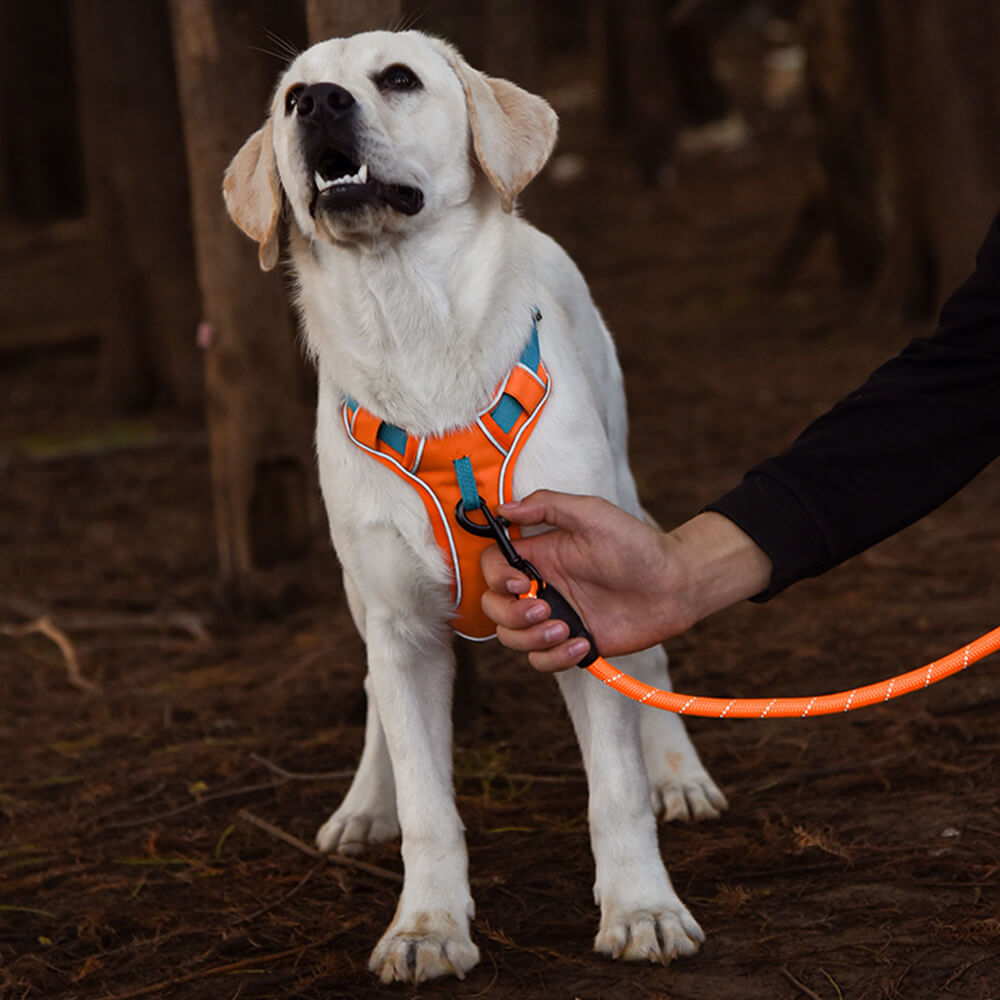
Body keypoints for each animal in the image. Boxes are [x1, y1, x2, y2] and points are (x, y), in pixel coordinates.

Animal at [227, 29, 728, 984]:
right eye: (291, 98)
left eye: (397, 79)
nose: (320, 105)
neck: (416, 335)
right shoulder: (397, 622)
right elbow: (428, 802)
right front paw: (424, 927)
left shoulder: (575, 592)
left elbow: (614, 789)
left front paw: (643, 908)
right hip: (361, 596)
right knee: (372, 693)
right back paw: (365, 804)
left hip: (624, 506)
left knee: (649, 659)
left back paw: (677, 772)